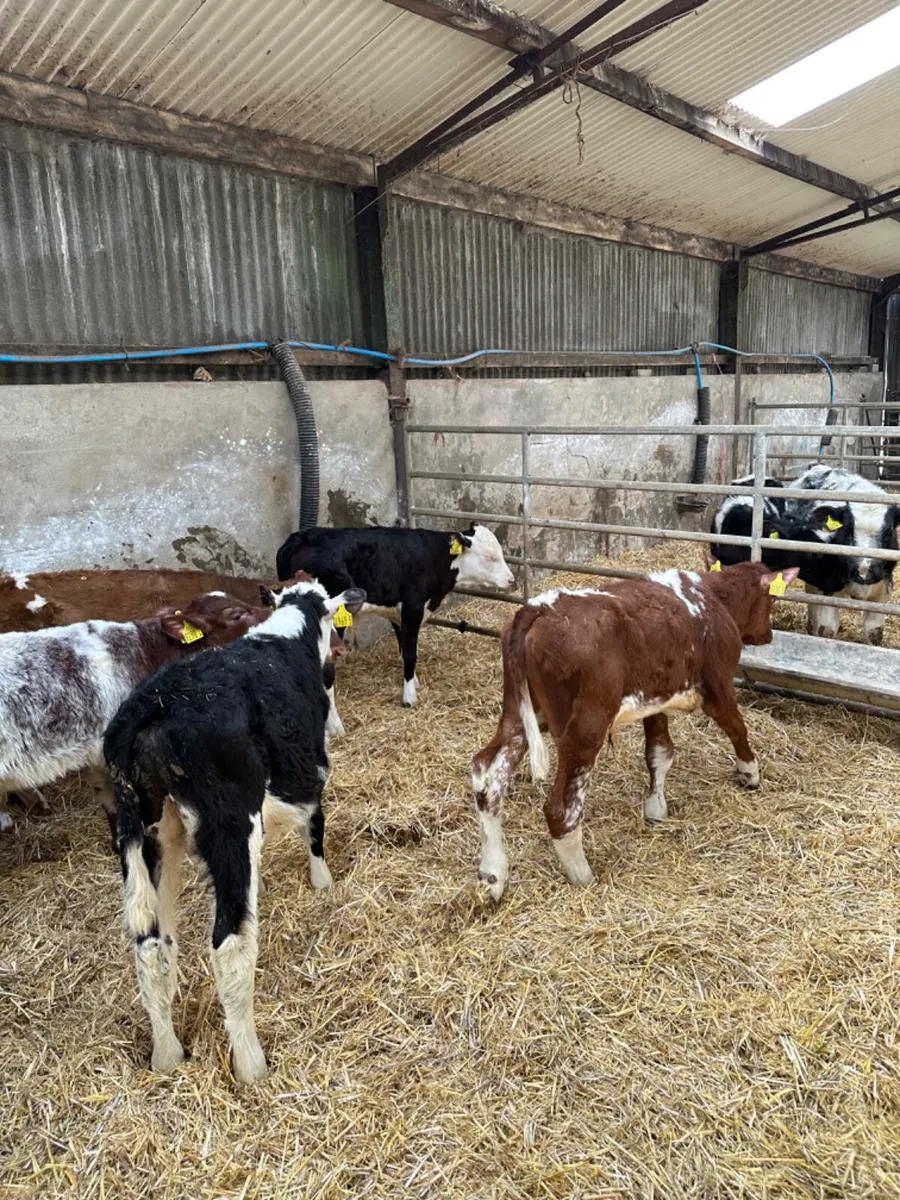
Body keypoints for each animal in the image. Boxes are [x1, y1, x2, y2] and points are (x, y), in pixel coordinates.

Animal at [103, 577, 366, 1083]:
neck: (289, 634)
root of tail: (152, 709)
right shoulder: (313, 766)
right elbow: (316, 825)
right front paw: (323, 882)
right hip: (230, 826)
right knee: (229, 945)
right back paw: (251, 1064)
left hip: (144, 833)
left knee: (151, 945)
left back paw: (166, 1054)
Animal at [276, 523, 515, 706]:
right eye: (489, 557)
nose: (511, 579)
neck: (434, 557)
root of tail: (304, 536)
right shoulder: (413, 607)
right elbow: (410, 654)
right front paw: (409, 698)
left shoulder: (398, 613)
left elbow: (404, 648)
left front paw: (413, 681)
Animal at [470, 561, 799, 901]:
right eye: (772, 599)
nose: (769, 634)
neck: (713, 597)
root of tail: (537, 609)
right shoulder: (718, 687)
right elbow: (736, 728)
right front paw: (750, 773)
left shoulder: (654, 701)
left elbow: (659, 751)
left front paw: (656, 807)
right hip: (585, 727)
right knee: (562, 808)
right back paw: (583, 876)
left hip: (518, 715)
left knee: (487, 777)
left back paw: (492, 876)